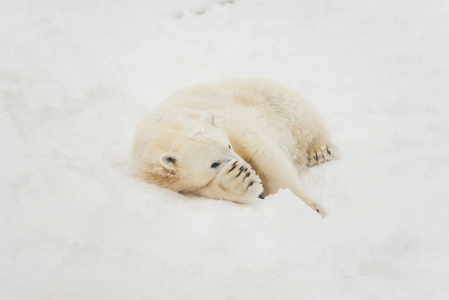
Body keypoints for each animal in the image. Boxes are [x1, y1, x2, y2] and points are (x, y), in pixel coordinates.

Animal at [133, 79, 336, 216]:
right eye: (214, 163)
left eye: (228, 145)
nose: (246, 165)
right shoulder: (163, 179)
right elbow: (202, 189)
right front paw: (240, 179)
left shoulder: (229, 121)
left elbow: (265, 154)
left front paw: (313, 207)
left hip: (274, 99)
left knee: (304, 120)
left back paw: (320, 151)